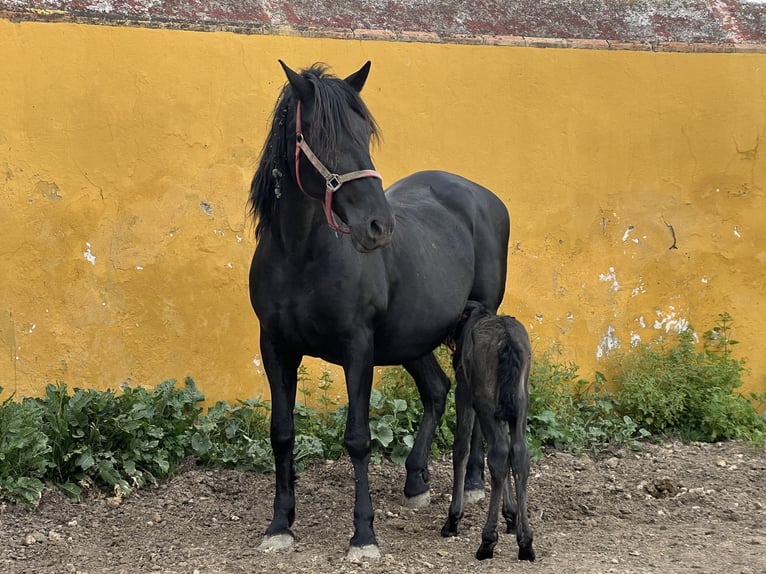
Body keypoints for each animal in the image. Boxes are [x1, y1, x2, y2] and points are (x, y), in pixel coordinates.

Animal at [248, 60, 510, 559]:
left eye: (365, 133)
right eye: (321, 136)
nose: (378, 226)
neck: (300, 257)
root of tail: (485, 197)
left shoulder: (358, 348)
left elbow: (357, 438)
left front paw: (363, 535)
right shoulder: (275, 347)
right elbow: (282, 432)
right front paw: (279, 525)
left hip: (474, 328)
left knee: (471, 401)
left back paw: (471, 483)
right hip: (413, 336)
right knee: (437, 390)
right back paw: (416, 482)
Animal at [441, 301, 535, 561]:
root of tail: (507, 341)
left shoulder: (464, 390)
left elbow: (462, 445)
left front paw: (453, 520)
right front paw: (511, 515)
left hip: (485, 400)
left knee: (499, 453)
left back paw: (487, 542)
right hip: (519, 401)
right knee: (517, 453)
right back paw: (526, 542)